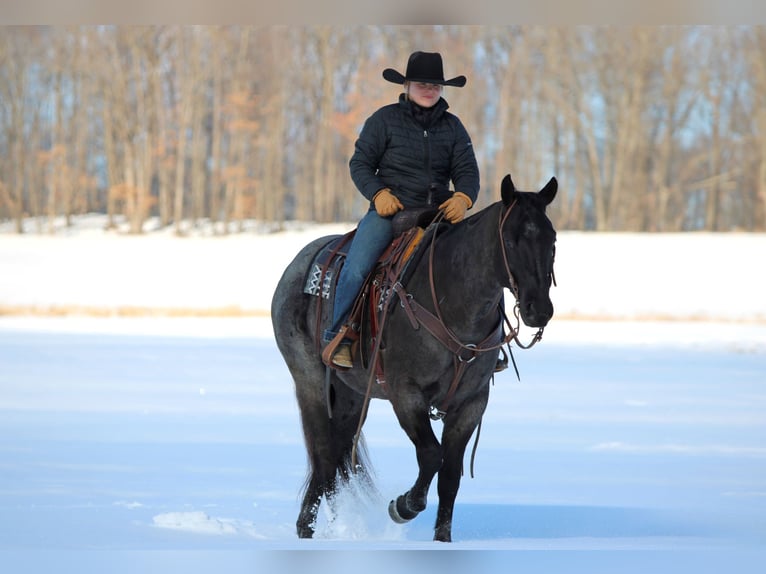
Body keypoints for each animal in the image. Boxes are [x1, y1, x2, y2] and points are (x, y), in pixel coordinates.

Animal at [271, 173, 558, 542]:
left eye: (552, 240)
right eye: (510, 240)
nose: (540, 310)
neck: (453, 299)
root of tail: (298, 264)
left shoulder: (472, 401)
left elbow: (450, 473)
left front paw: (443, 539)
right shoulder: (405, 393)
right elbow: (431, 455)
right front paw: (403, 506)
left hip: (350, 395)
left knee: (334, 459)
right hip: (310, 381)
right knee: (322, 455)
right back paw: (305, 531)